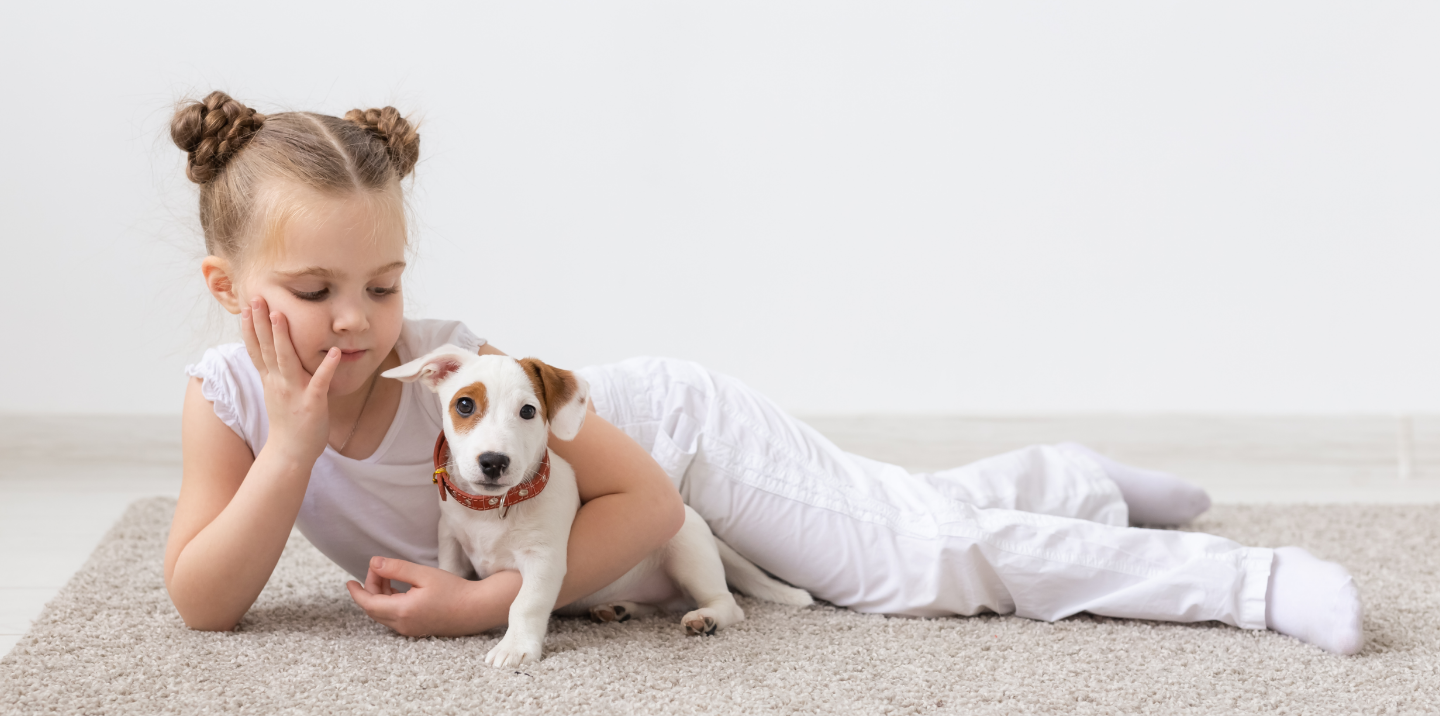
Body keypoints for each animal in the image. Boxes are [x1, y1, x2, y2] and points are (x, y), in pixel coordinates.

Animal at [383, 342, 812, 668]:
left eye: (528, 411)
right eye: (465, 405)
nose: (493, 462)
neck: (493, 508)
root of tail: (697, 518)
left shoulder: (543, 561)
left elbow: (524, 603)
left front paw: (516, 647)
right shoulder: (451, 539)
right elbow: (452, 571)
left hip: (688, 554)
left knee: (727, 604)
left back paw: (706, 617)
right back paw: (619, 608)